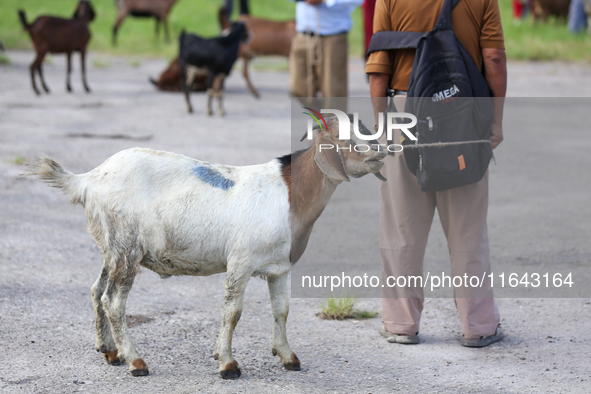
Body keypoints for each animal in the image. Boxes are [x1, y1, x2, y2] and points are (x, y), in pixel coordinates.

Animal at [27, 117, 386, 378]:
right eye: (347, 139)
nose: (382, 152)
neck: (289, 195)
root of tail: (88, 179)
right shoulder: (240, 262)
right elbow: (233, 312)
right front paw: (227, 364)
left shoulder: (278, 268)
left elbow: (281, 310)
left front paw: (288, 358)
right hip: (126, 247)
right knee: (113, 301)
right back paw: (136, 362)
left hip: (112, 246)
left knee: (96, 289)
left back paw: (110, 351)